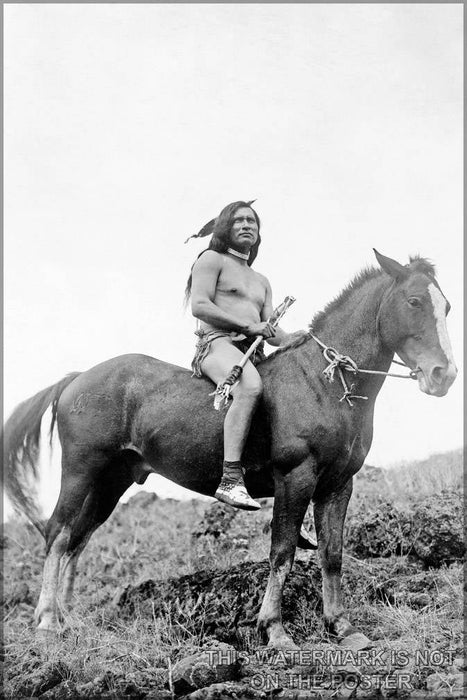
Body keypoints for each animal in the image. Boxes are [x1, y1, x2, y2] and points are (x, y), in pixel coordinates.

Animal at [3, 250, 458, 652]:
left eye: (447, 306)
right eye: (414, 301)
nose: (444, 374)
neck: (323, 383)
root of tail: (79, 378)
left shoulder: (338, 484)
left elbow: (332, 555)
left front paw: (342, 627)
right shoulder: (296, 478)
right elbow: (282, 553)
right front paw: (274, 630)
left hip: (110, 483)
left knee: (78, 539)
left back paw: (69, 619)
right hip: (81, 471)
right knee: (58, 534)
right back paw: (47, 621)